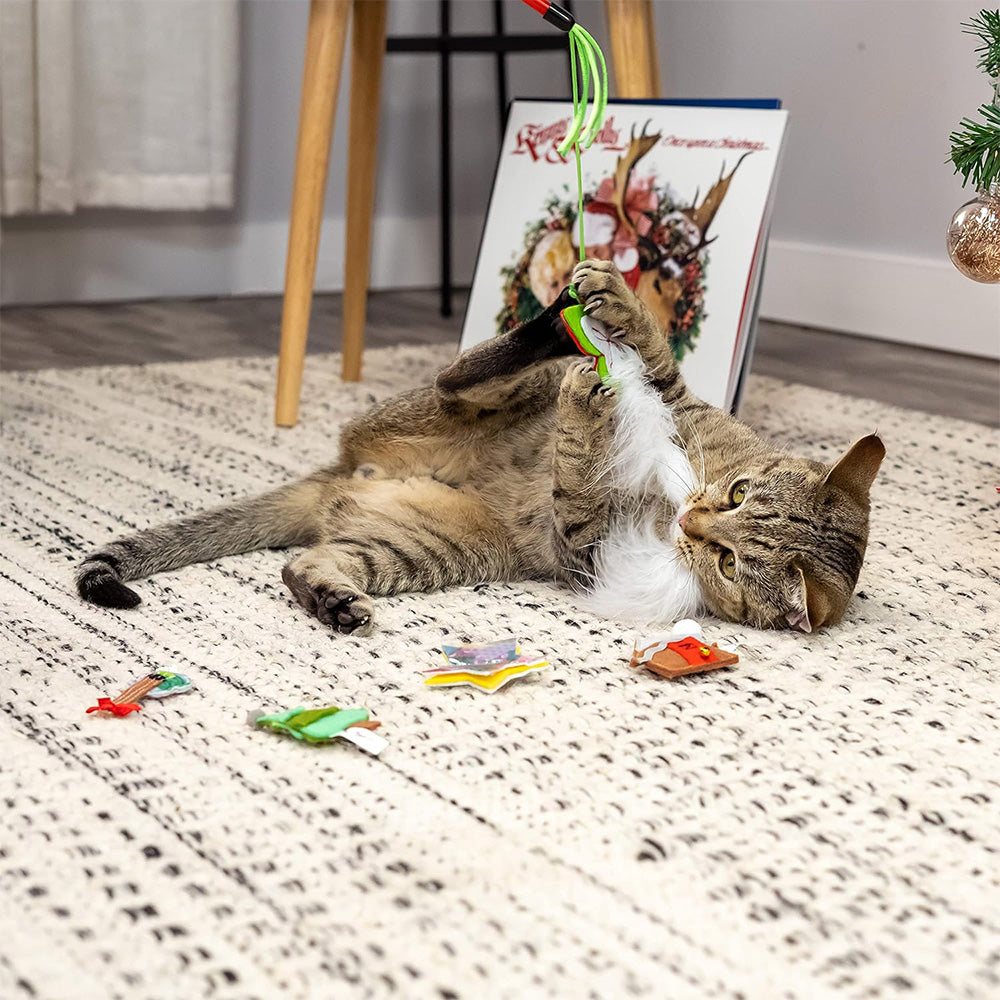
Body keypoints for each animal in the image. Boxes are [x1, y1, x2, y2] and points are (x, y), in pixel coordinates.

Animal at [76, 258, 884, 632]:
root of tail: (344, 469)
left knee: (303, 564)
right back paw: (559, 325)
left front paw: (588, 414)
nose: (691, 518)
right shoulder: (679, 402)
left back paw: (336, 602)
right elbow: (654, 357)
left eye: (726, 562)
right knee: (462, 371)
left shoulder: (584, 552)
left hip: (420, 549)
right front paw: (618, 306)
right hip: (455, 407)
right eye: (740, 493)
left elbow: (578, 485)